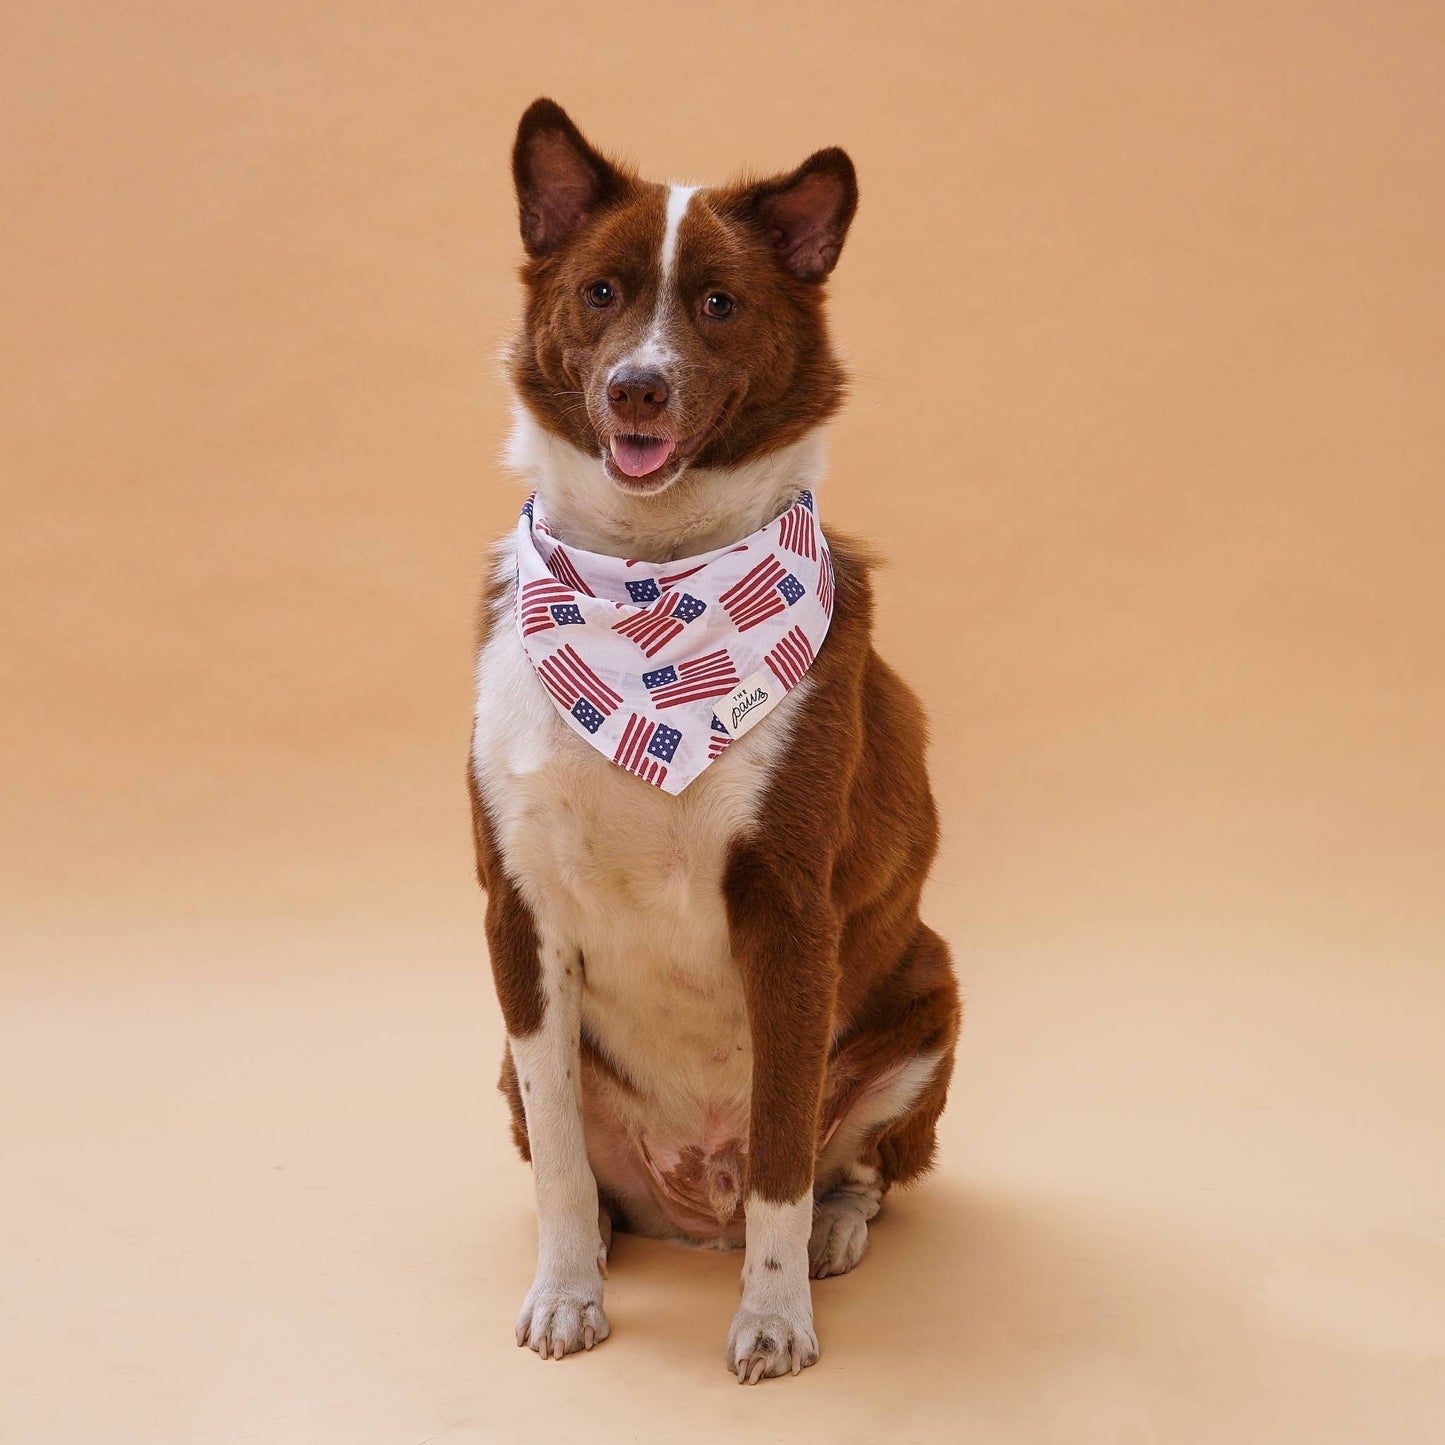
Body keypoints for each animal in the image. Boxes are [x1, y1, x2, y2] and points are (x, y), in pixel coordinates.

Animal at [465, 96, 959, 1381]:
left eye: (719, 304)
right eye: (598, 291)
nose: (639, 388)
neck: (647, 590)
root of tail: (697, 1205)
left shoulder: (788, 912)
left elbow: (786, 1143)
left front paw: (773, 1316)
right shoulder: (515, 907)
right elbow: (558, 1159)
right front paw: (565, 1291)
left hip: (929, 996)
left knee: (849, 1168)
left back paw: (831, 1230)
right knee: (579, 1163)